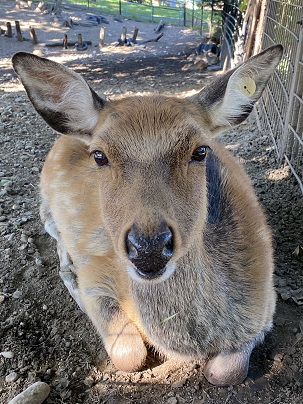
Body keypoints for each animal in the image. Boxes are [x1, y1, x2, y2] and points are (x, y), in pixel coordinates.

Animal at [13, 44, 284, 386]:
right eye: (99, 155)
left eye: (201, 151)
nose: (149, 247)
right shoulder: (97, 271)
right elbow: (130, 354)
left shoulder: (267, 301)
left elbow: (225, 371)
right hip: (47, 209)